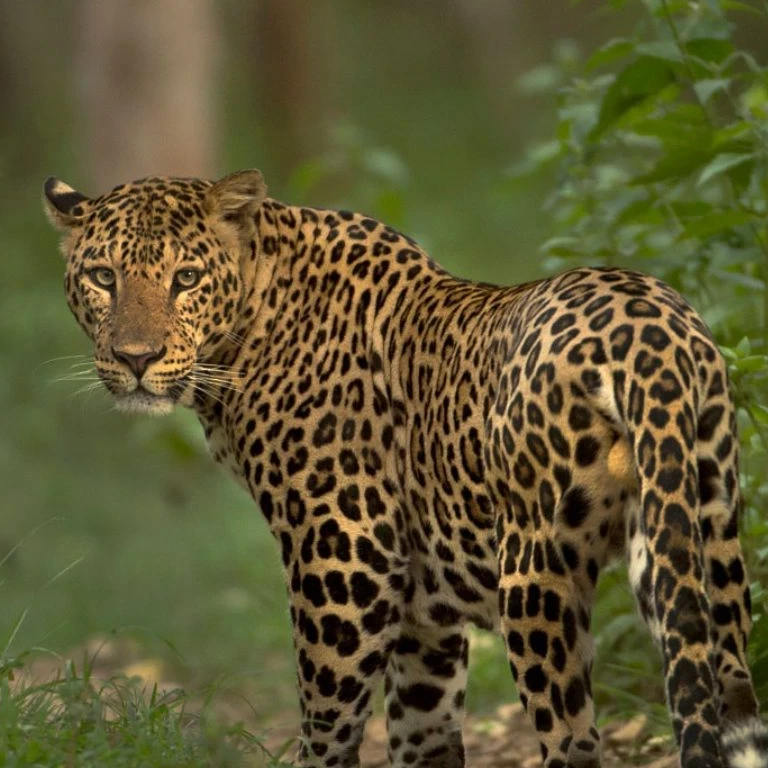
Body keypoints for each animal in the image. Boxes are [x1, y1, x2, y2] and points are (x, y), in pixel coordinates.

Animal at [43, 169, 767, 768]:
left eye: (186, 279)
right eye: (103, 277)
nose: (137, 357)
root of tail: (653, 333)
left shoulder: (344, 560)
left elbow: (328, 721)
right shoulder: (426, 615)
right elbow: (423, 738)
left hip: (535, 573)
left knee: (575, 740)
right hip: (703, 538)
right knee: (732, 701)